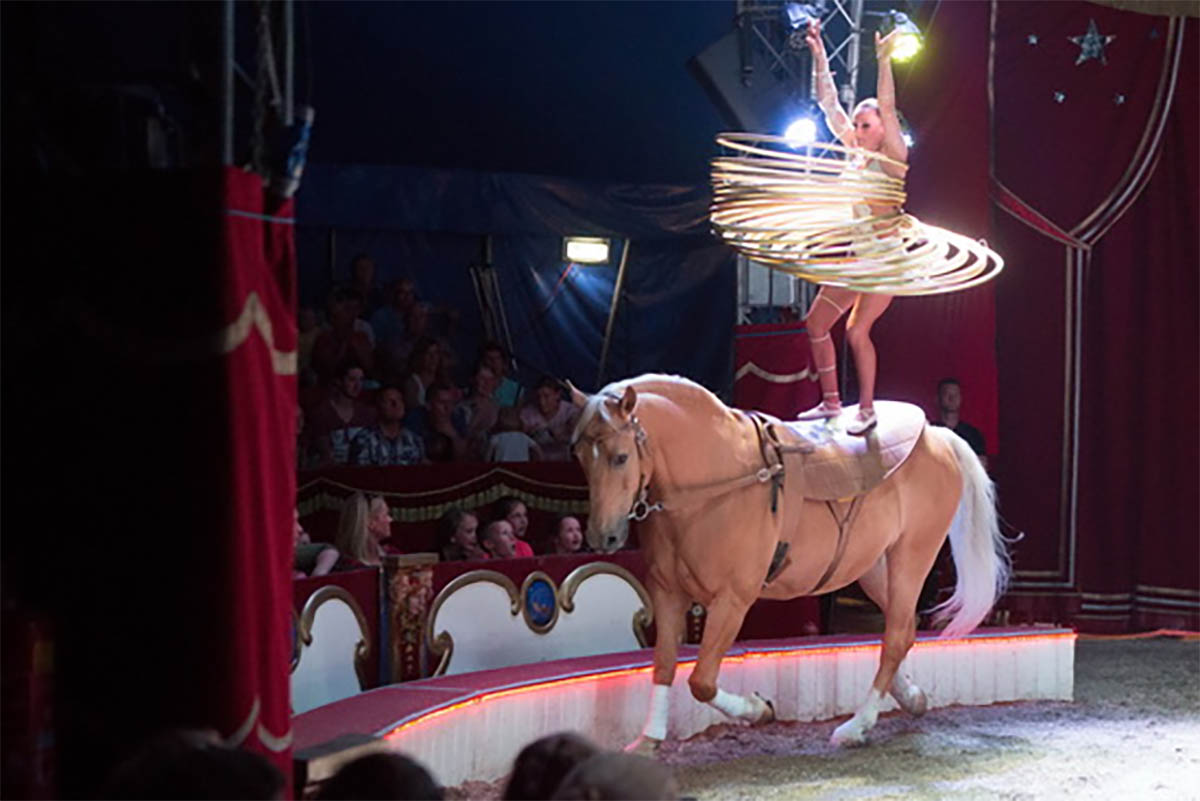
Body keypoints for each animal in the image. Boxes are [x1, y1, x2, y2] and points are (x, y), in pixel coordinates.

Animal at [566, 371, 1008, 748]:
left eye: (621, 457)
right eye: (581, 458)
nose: (603, 536)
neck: (712, 482)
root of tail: (936, 434)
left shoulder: (732, 600)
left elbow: (702, 681)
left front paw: (759, 709)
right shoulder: (667, 593)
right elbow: (663, 665)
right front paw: (649, 739)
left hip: (912, 556)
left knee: (897, 635)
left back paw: (856, 726)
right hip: (872, 567)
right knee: (902, 629)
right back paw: (911, 697)